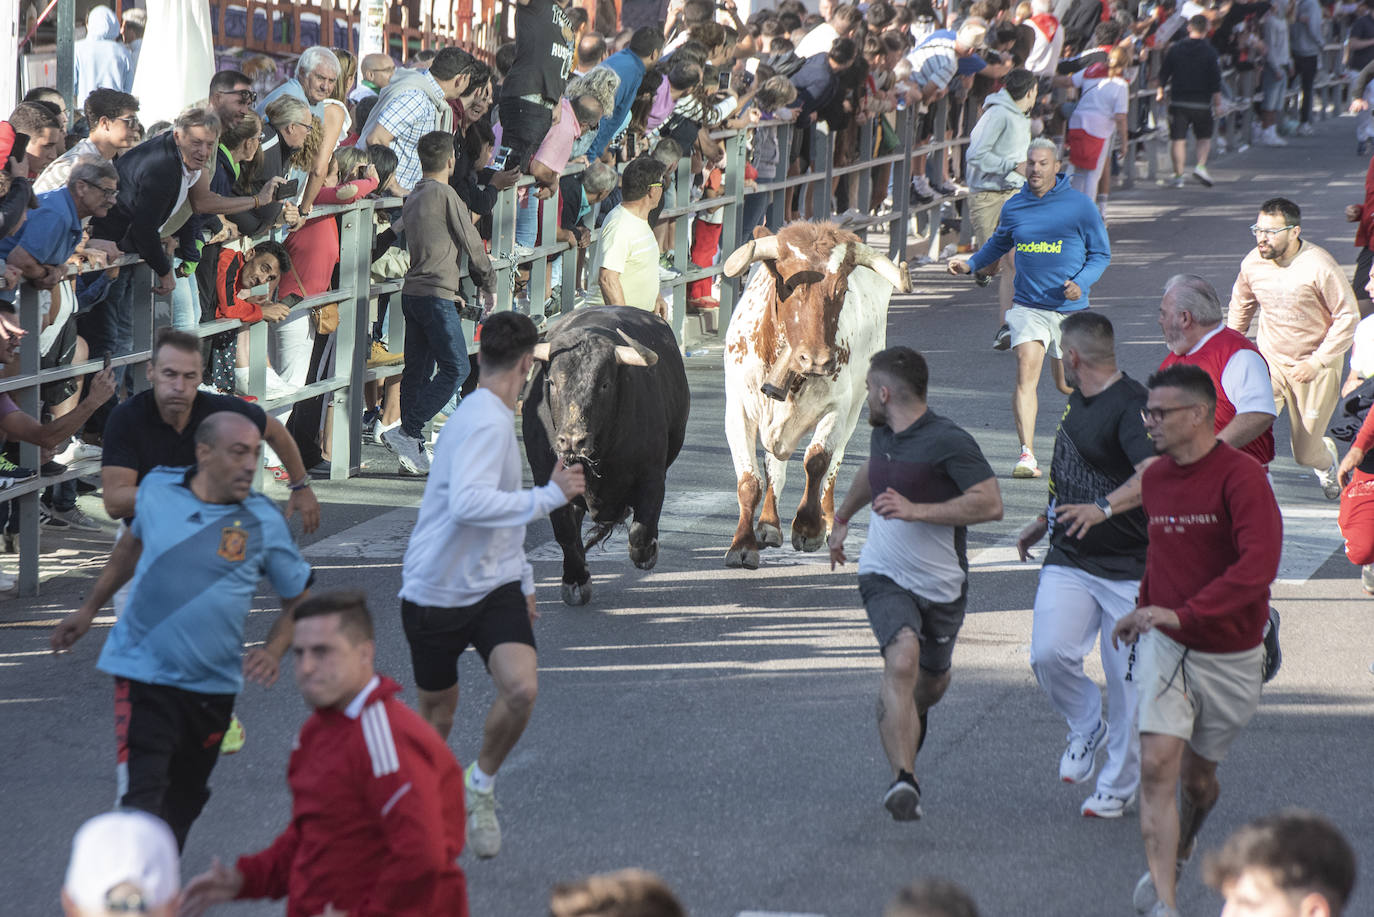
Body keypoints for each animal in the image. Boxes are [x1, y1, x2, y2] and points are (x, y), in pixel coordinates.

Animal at [519, 307, 692, 604]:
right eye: (552, 382)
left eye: (604, 385)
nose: (572, 441)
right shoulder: (547, 478)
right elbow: (565, 532)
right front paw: (576, 579)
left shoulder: (652, 476)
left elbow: (641, 532)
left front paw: (646, 553)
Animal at [725, 219, 906, 566]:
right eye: (788, 285)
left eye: (841, 290)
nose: (817, 360)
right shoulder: (738, 410)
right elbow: (750, 481)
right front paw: (742, 544)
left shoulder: (838, 407)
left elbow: (818, 460)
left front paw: (808, 528)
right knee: (775, 466)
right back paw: (768, 524)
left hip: (855, 408)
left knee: (834, 462)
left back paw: (828, 519)